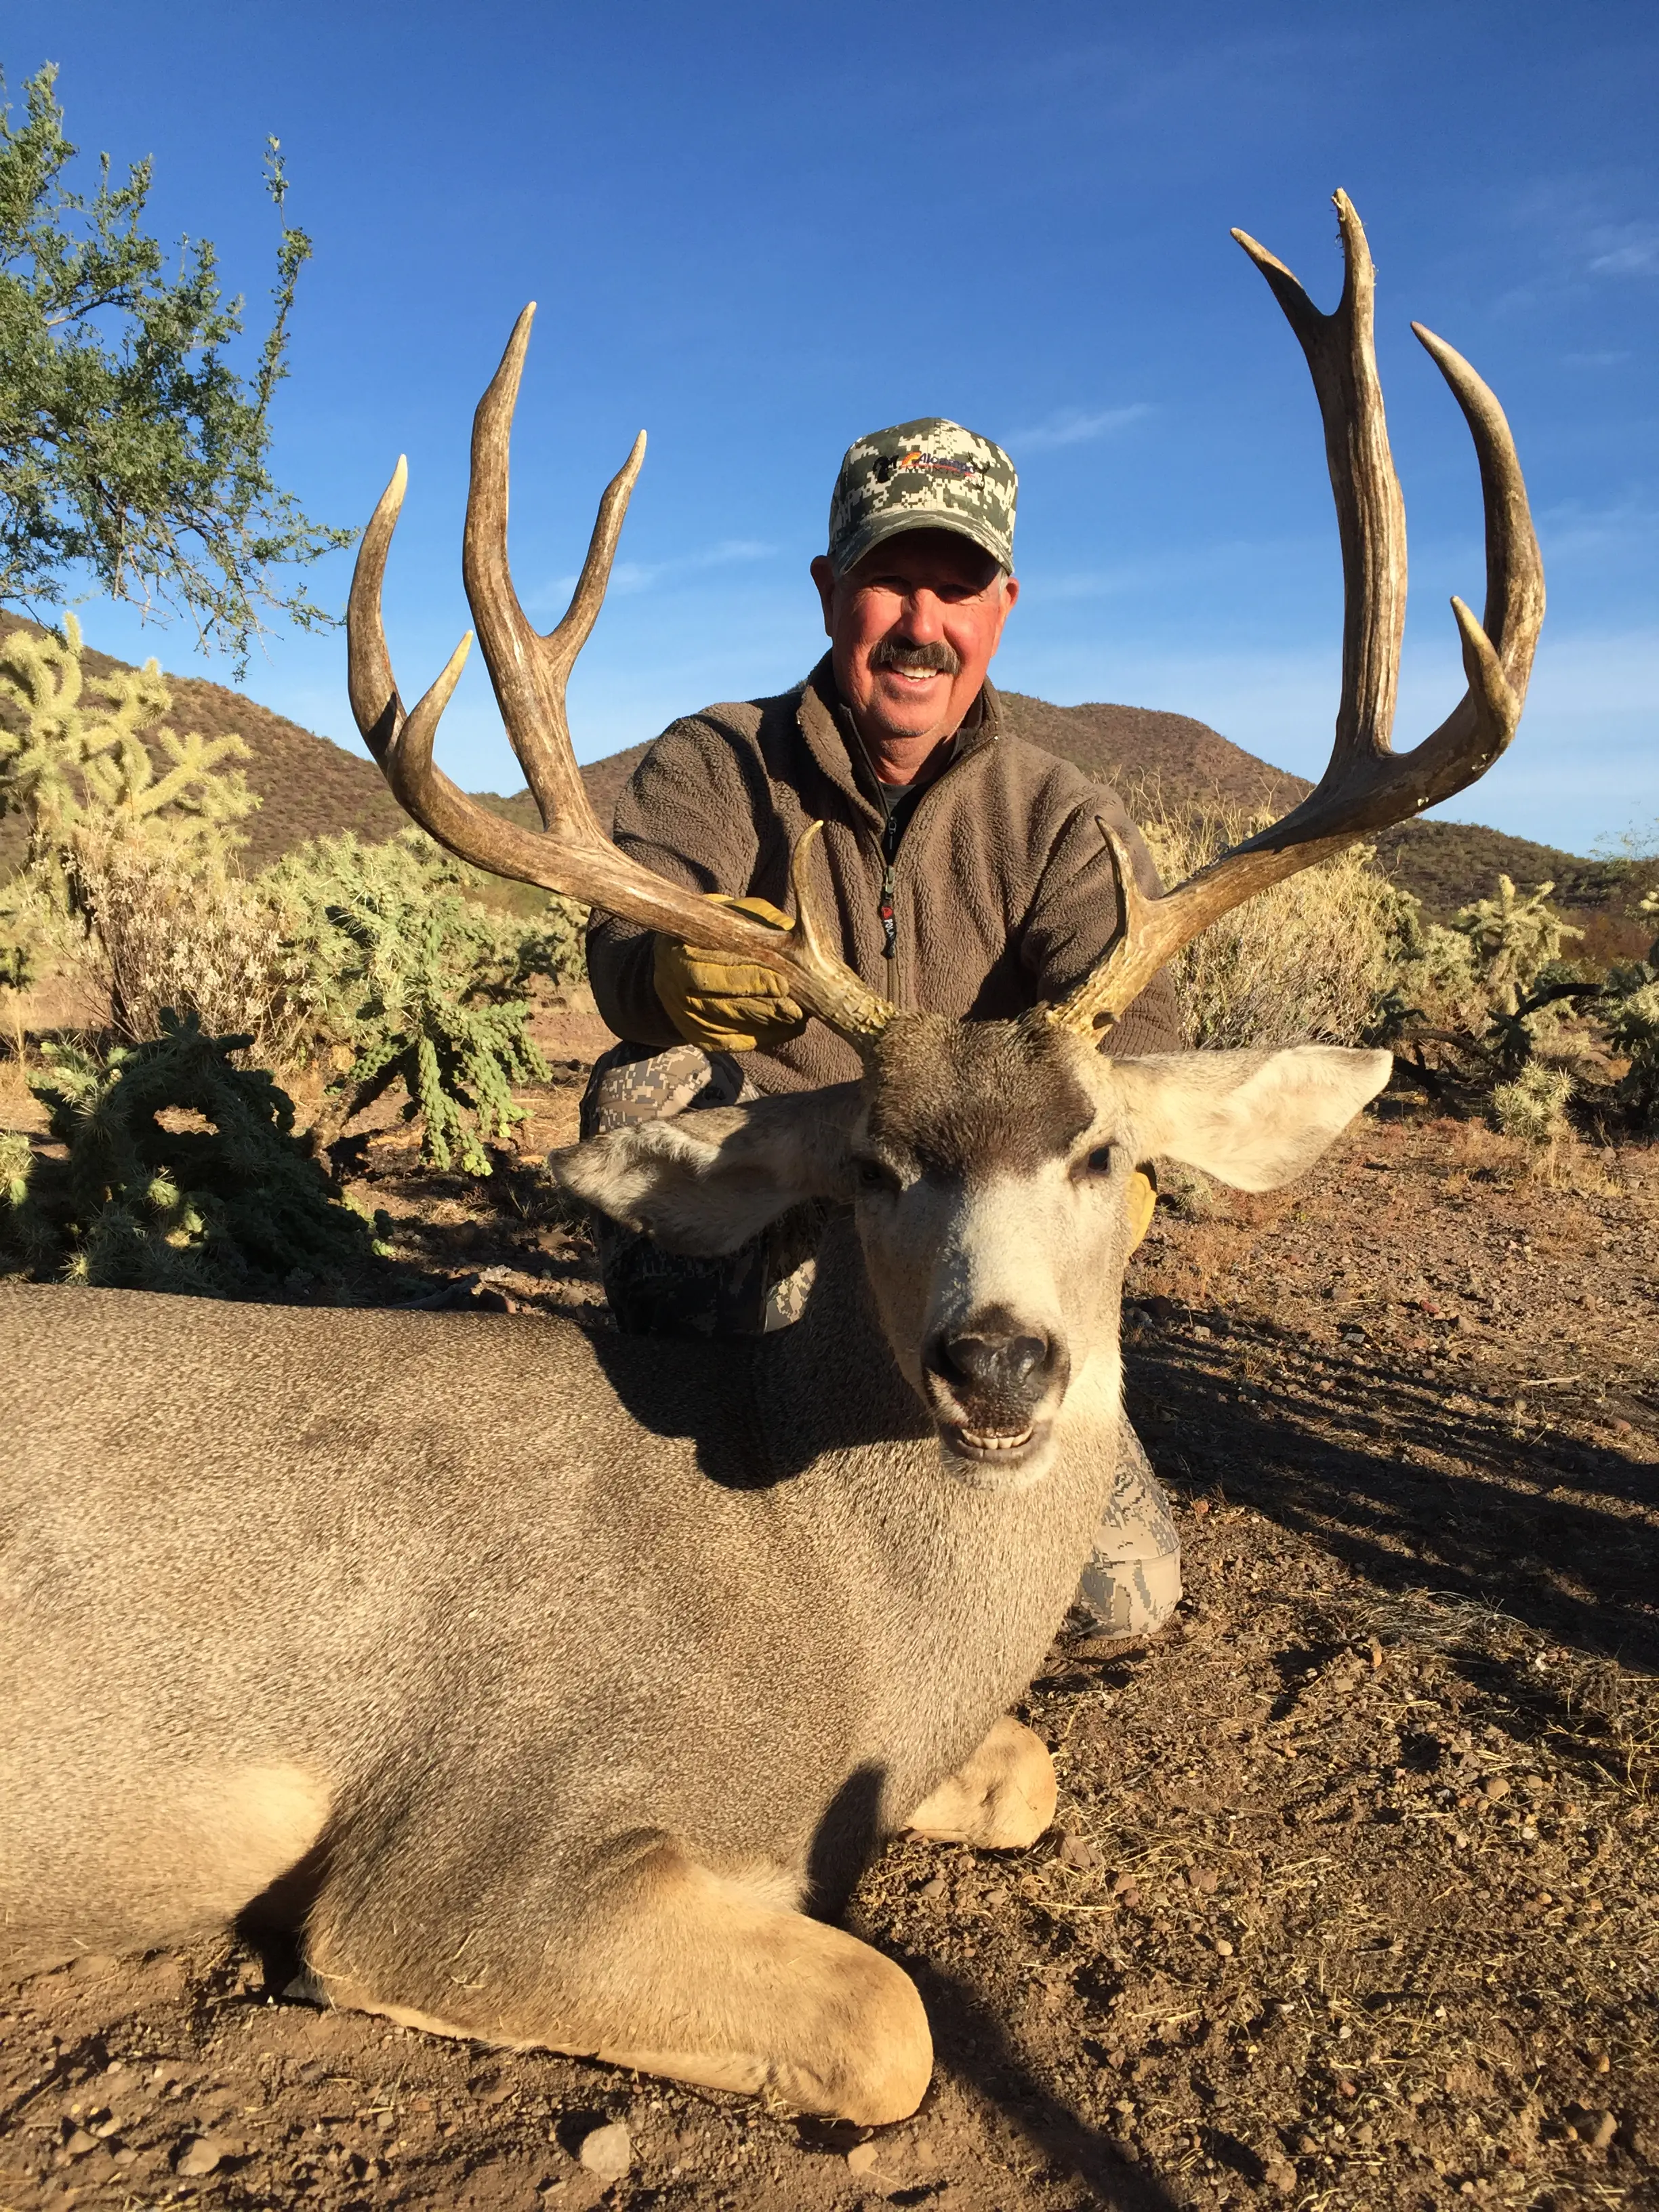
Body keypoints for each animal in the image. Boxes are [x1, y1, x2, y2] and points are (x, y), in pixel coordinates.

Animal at [0, 195, 1541, 2126]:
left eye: (1108, 1154)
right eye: (872, 1166)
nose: (997, 1361)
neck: (835, 1607)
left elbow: (1025, 1773)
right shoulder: (469, 1843)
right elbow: (887, 2021)